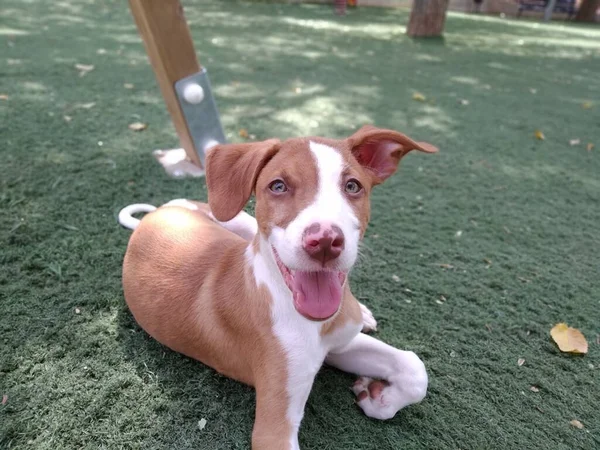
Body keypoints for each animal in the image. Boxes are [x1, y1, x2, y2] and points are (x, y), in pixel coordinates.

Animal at [118, 125, 436, 450]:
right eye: (278, 186)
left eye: (352, 186)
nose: (324, 241)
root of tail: (152, 215)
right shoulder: (274, 429)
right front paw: (376, 396)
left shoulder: (340, 345)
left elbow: (414, 368)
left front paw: (378, 397)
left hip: (235, 222)